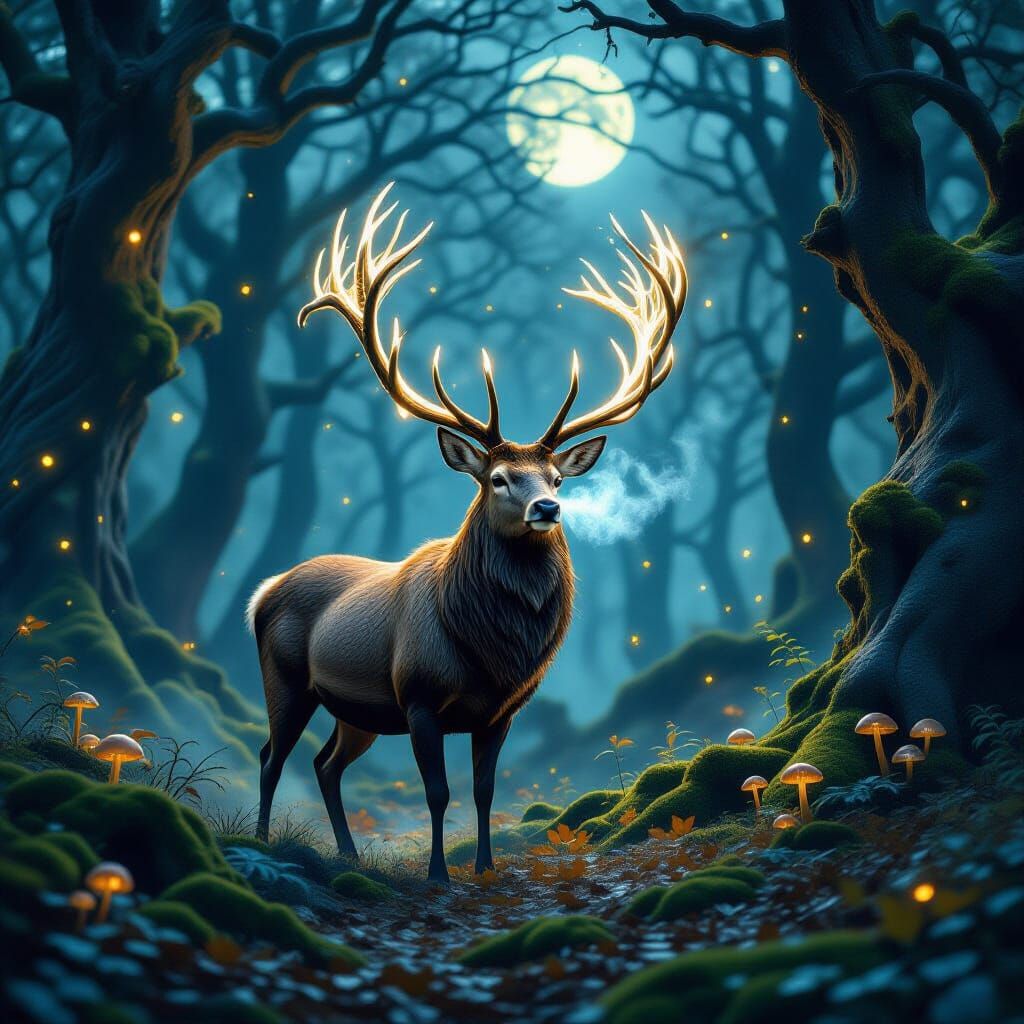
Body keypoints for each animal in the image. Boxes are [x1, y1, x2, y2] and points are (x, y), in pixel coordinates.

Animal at [247, 184, 687, 883]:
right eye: (499, 478)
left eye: (555, 478)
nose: (547, 509)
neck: (491, 653)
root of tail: (262, 593)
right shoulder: (420, 696)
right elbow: (438, 791)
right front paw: (437, 873)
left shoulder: (502, 712)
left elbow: (484, 790)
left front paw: (482, 867)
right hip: (285, 676)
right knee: (272, 755)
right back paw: (264, 840)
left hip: (356, 711)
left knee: (325, 764)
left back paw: (349, 854)